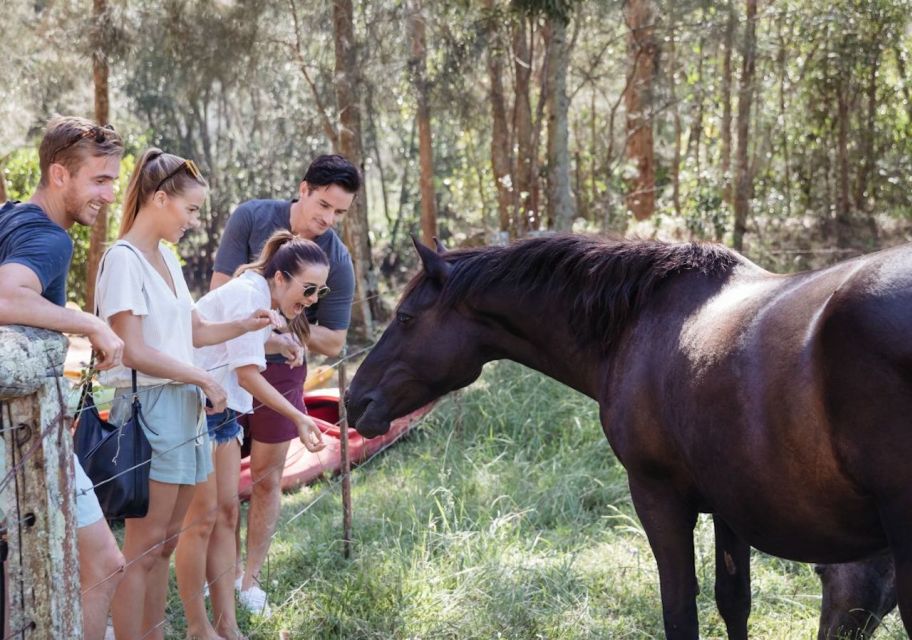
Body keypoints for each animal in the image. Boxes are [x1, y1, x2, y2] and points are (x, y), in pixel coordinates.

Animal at [346, 238, 908, 636]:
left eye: (405, 318)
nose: (355, 401)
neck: (638, 322)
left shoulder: (658, 497)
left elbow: (680, 612)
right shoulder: (729, 507)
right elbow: (733, 603)